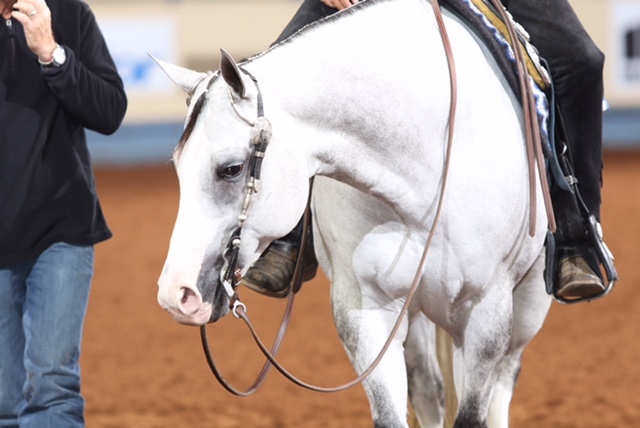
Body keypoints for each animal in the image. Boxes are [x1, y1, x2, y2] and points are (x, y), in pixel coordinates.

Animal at [155, 0, 553, 426]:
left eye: (230, 168)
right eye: (178, 165)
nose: (176, 294)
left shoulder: (486, 314)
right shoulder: (365, 311)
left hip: (525, 307)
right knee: (429, 389)